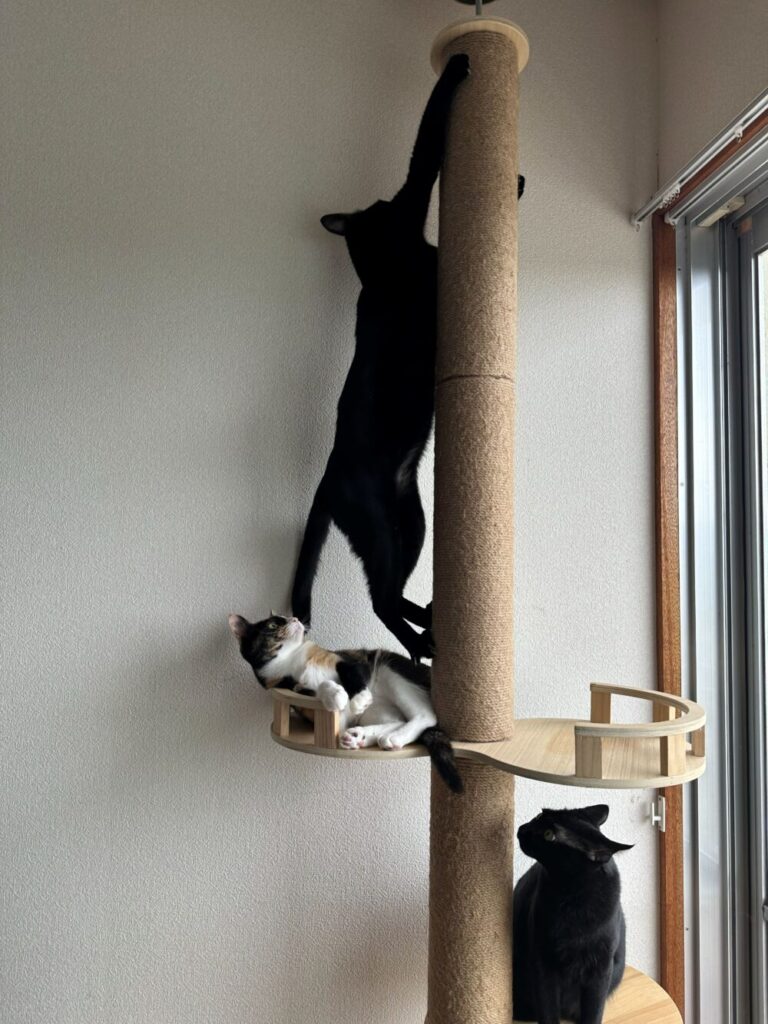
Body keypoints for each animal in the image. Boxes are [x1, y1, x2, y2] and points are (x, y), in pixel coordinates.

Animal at [228, 612, 463, 792]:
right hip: (378, 710)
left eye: (285, 616)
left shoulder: (347, 660)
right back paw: (359, 737)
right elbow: (317, 688)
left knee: (425, 715)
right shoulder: (293, 690)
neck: (291, 659)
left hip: (390, 668)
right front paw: (335, 696)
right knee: (398, 719)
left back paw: (391, 736)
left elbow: (349, 671)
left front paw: (358, 698)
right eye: (273, 625)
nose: (295, 618)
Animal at [291, 52, 526, 662]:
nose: (373, 201)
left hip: (412, 518)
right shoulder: (413, 197)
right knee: (379, 597)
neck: (375, 264)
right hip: (378, 525)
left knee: (392, 589)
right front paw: (459, 65)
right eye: (376, 207)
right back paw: (423, 643)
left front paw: (512, 182)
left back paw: (429, 625)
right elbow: (425, 145)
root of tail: (328, 475)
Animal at [512, 805, 633, 1024]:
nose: (522, 829)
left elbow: (593, 1012)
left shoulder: (600, 969)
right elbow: (548, 1011)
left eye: (549, 835)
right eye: (539, 815)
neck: (572, 898)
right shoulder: (542, 963)